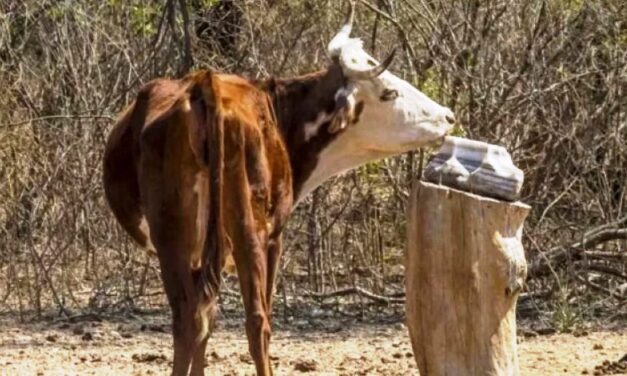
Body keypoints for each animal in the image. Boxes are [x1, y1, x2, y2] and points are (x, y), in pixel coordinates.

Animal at [103, 3, 456, 376]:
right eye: (389, 92)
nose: (447, 117)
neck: (279, 113)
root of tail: (204, 86)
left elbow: (206, 319)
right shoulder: (275, 237)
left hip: (173, 239)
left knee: (189, 318)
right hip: (250, 230)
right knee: (256, 321)